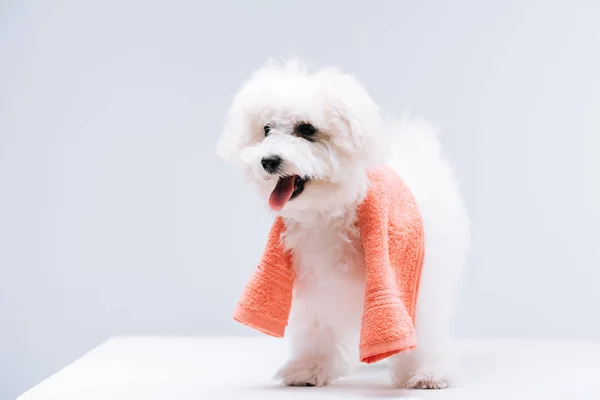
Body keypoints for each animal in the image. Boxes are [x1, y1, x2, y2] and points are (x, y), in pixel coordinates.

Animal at [216, 61, 468, 390]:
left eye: (307, 129)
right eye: (266, 130)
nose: (268, 160)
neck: (332, 208)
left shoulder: (411, 279)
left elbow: (419, 326)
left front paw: (425, 372)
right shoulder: (316, 282)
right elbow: (317, 326)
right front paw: (310, 368)